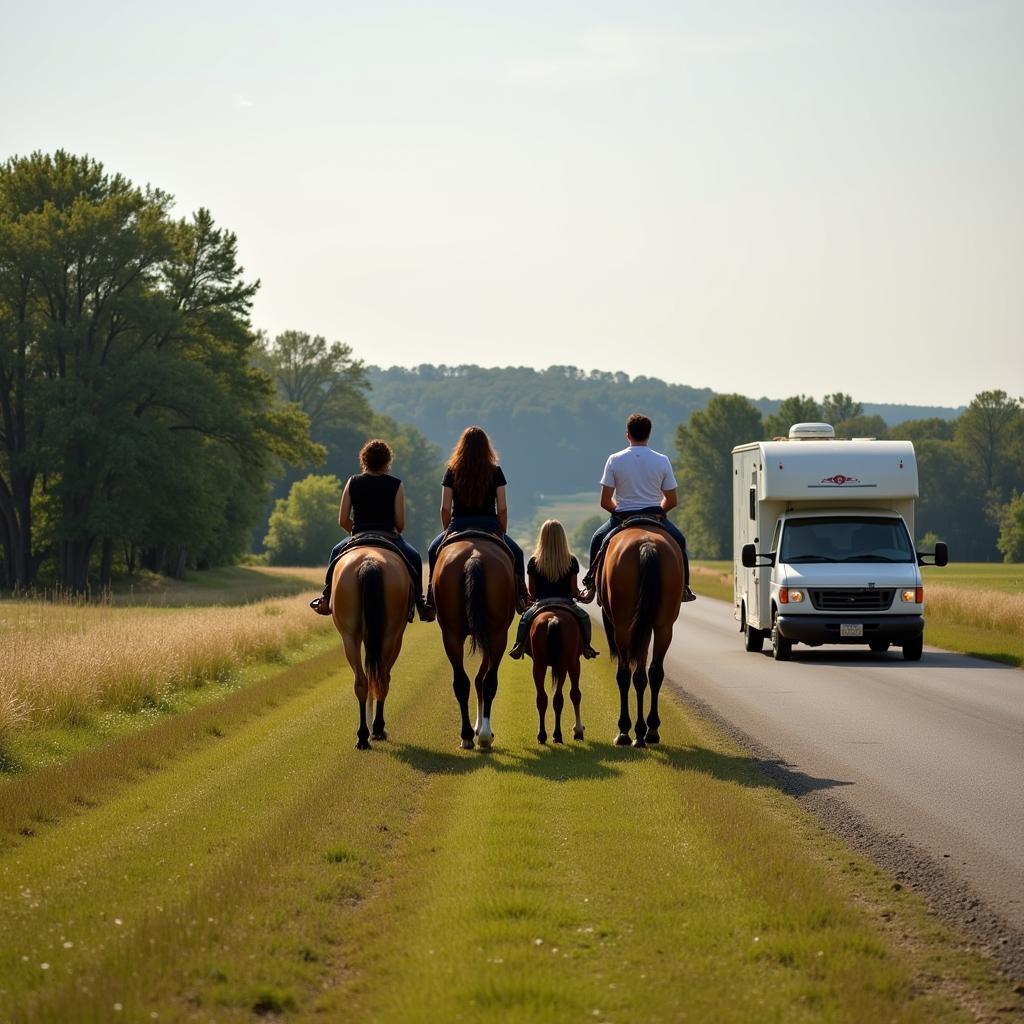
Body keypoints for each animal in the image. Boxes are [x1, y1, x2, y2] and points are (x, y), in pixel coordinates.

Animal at [331, 548, 411, 749]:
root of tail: (369, 561)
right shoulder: (396, 637)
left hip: (350, 637)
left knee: (363, 681)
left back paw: (363, 735)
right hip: (389, 636)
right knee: (380, 678)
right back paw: (376, 729)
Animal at [432, 540, 516, 749]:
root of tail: (474, 557)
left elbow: (476, 679)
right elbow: (481, 678)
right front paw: (482, 729)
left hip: (452, 635)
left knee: (462, 683)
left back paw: (468, 735)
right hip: (497, 635)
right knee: (488, 681)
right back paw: (484, 735)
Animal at [528, 606, 585, 745]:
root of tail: (553, 619)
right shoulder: (575, 662)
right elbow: (575, 694)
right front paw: (578, 730)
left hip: (540, 664)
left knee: (543, 698)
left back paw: (543, 735)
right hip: (567, 663)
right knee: (563, 696)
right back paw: (559, 735)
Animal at [598, 524, 684, 749]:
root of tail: (647, 544)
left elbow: (630, 675)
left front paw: (631, 731)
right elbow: (643, 676)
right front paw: (642, 731)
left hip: (623, 627)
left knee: (624, 675)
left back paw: (625, 731)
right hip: (663, 626)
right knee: (654, 672)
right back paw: (650, 730)